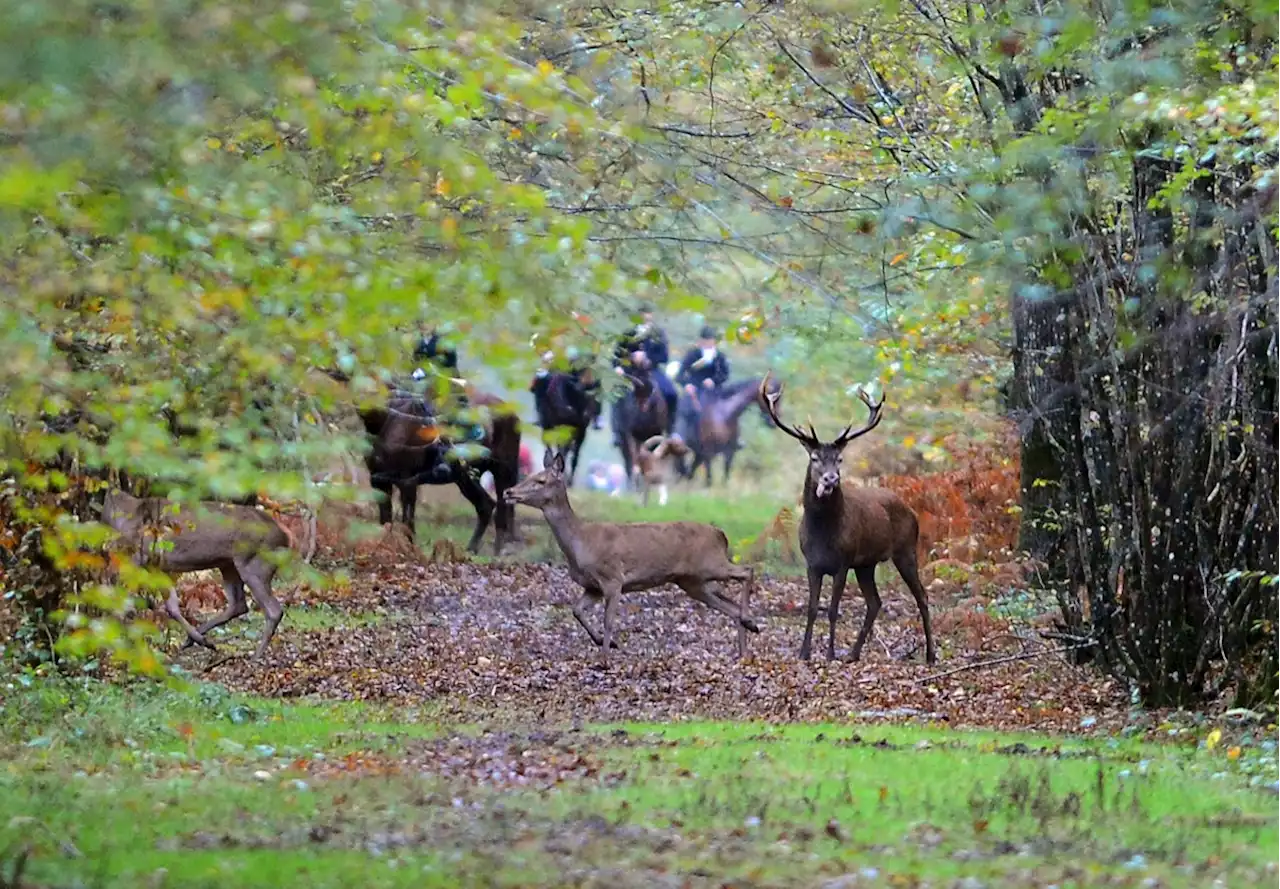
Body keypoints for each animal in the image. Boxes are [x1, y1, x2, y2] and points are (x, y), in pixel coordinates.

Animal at [101, 491, 290, 654]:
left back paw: (255, 656)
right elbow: (171, 606)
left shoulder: (142, 557)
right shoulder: (159, 566)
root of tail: (285, 537)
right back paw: (197, 640)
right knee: (239, 604)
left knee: (273, 610)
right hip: (229, 564)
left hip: (254, 562)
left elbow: (121, 597)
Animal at [360, 383, 519, 552]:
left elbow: (407, 520)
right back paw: (471, 549)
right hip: (465, 477)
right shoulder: (378, 480)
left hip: (502, 471)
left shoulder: (407, 480)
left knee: (501, 512)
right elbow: (385, 520)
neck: (388, 420)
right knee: (486, 506)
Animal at [501, 452, 757, 660]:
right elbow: (576, 610)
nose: (508, 491)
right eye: (531, 475)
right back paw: (745, 645)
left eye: (540, 481)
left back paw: (750, 623)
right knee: (731, 605)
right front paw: (607, 644)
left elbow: (608, 621)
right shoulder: (592, 586)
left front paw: (604, 658)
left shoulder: (613, 578)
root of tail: (721, 535)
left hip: (709, 564)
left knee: (747, 570)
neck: (580, 544)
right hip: (692, 581)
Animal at [752, 370, 936, 665]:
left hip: (905, 550)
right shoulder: (812, 564)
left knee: (922, 596)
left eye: (839, 459)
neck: (823, 532)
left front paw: (829, 654)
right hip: (866, 564)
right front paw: (804, 653)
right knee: (875, 602)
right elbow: (812, 608)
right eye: (815, 457)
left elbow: (832, 609)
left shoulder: (843, 561)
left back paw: (930, 654)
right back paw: (854, 653)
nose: (831, 479)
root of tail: (911, 511)